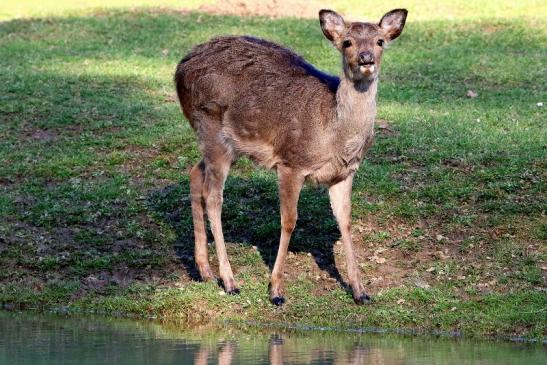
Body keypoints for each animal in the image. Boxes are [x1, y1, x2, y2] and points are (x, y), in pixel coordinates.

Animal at [174, 8, 406, 304]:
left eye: (379, 41)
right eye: (347, 42)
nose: (366, 59)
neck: (335, 136)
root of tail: (179, 70)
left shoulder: (344, 173)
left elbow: (345, 221)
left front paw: (360, 291)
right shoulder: (291, 162)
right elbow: (288, 221)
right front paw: (275, 291)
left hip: (225, 144)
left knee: (194, 173)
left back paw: (203, 270)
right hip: (212, 129)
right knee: (213, 197)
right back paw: (229, 281)